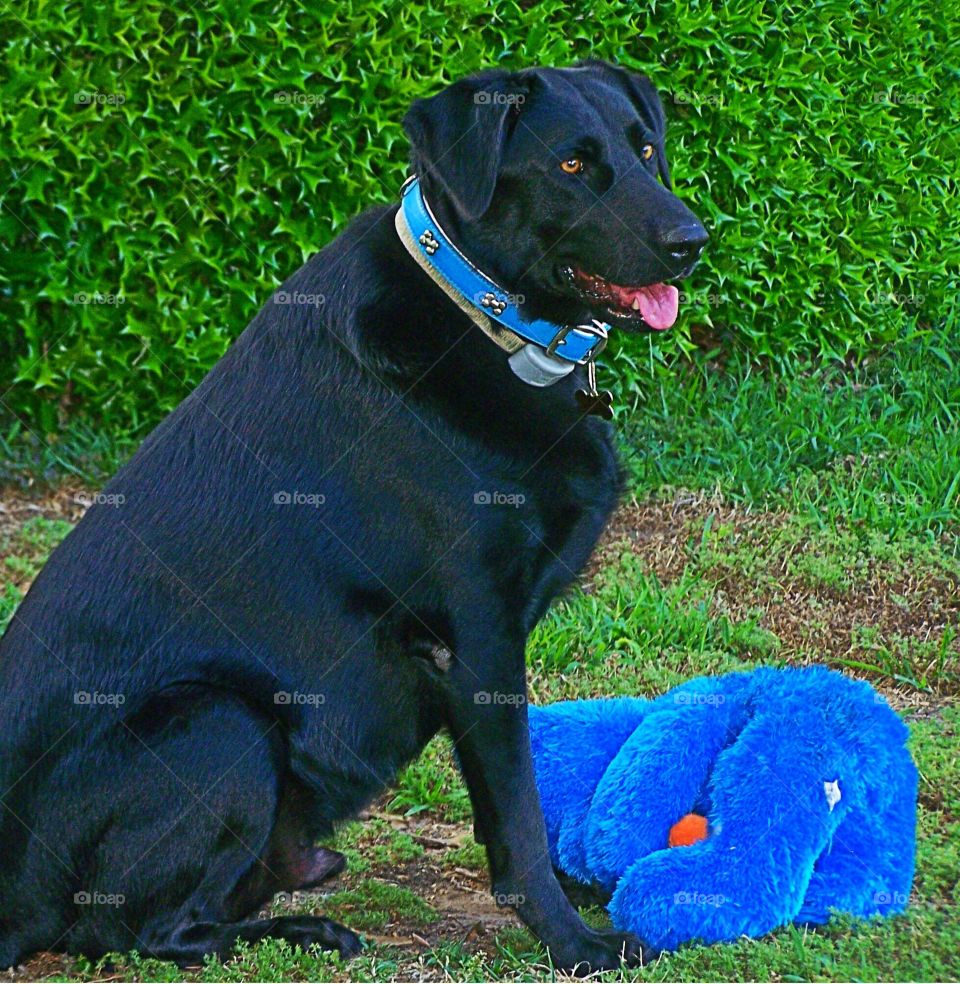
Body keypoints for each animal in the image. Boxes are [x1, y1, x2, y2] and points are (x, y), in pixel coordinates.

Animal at [0, 63, 704, 976]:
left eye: (645, 149)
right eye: (573, 167)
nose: (693, 239)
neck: (484, 318)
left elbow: (509, 816)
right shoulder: (477, 638)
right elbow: (518, 813)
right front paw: (575, 943)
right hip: (219, 722)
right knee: (142, 935)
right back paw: (303, 932)